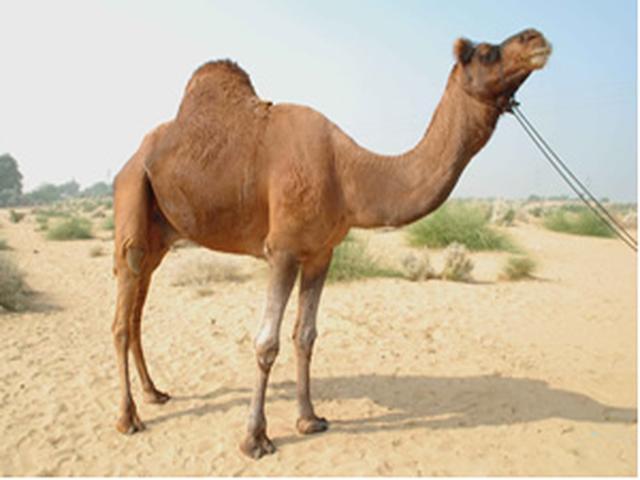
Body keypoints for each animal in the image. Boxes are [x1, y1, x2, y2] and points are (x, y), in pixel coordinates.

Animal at [111, 28, 551, 459]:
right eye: (486, 52)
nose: (537, 39)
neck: (348, 172)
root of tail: (132, 159)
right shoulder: (282, 250)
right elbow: (266, 343)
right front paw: (255, 438)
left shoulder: (321, 252)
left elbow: (305, 335)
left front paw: (309, 419)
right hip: (132, 195)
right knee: (122, 314)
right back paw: (128, 418)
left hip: (161, 236)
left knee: (136, 313)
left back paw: (154, 393)